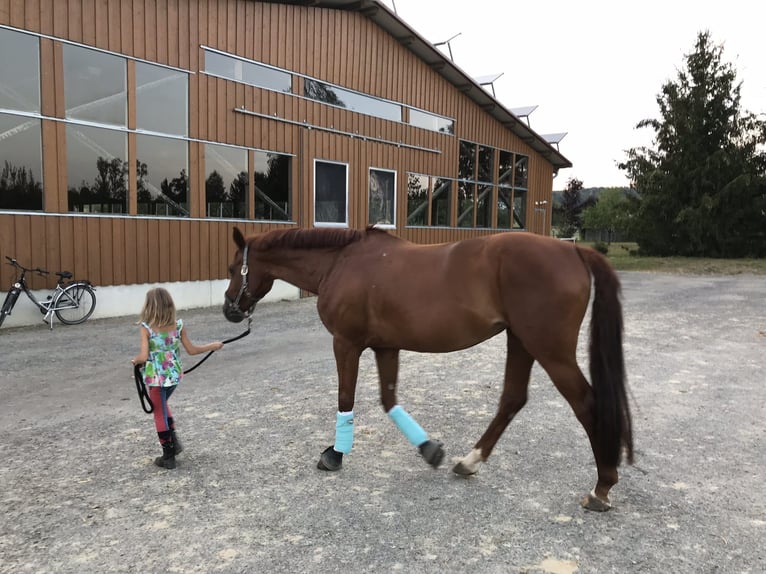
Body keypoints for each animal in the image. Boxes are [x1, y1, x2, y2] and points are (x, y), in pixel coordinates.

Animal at [224, 227, 636, 510]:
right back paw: (469, 461)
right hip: (521, 341)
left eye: (232, 268)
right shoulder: (386, 347)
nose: (230, 309)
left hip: (550, 349)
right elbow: (389, 401)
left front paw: (334, 455)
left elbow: (346, 398)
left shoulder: (346, 343)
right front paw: (430, 450)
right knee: (512, 399)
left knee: (586, 403)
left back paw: (602, 487)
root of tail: (572, 249)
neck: (341, 262)